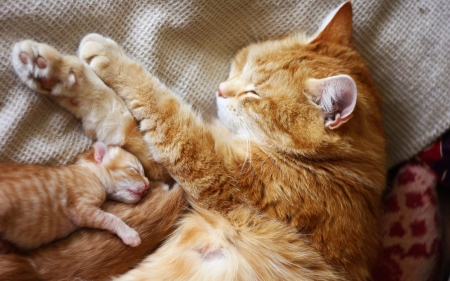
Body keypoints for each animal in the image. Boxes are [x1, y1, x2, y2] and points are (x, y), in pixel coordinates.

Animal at [0, 142, 150, 249]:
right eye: (134, 170)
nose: (148, 185)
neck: (90, 173)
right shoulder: (81, 209)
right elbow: (111, 218)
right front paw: (129, 234)